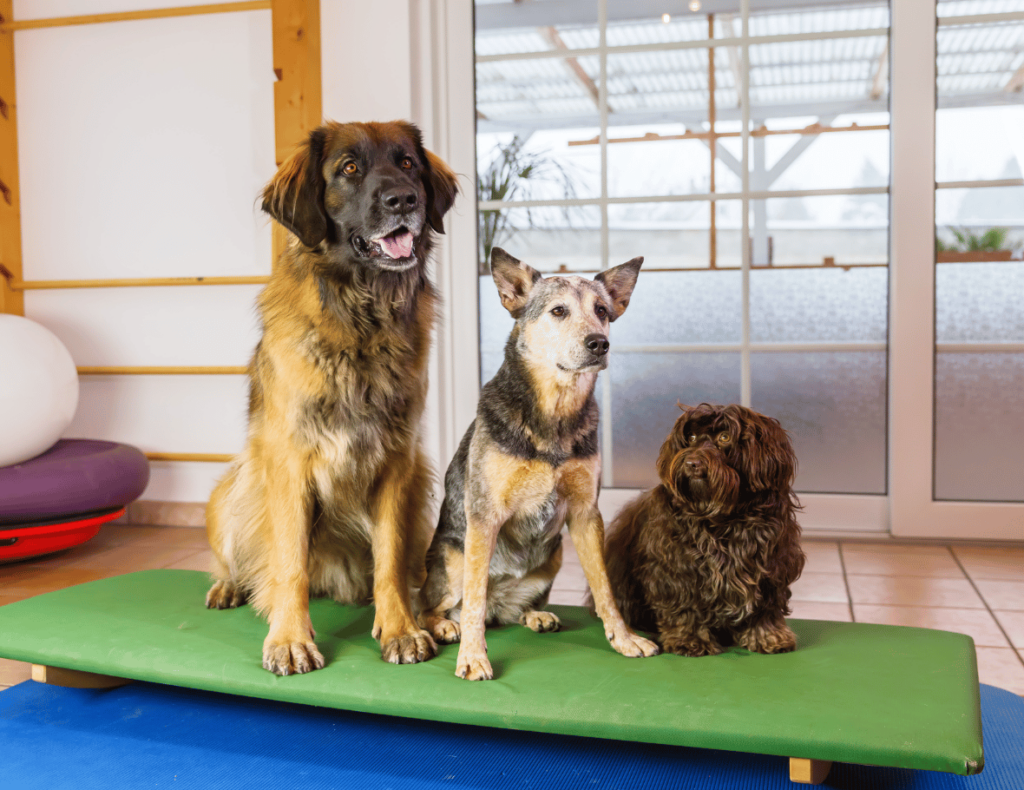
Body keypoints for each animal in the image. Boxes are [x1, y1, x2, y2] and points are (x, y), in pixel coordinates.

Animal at [205, 120, 458, 676]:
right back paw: (229, 585)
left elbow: (389, 559)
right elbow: (290, 563)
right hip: (234, 491)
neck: (362, 319)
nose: (404, 199)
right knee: (241, 557)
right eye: (349, 168)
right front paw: (290, 639)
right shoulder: (289, 463)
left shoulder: (398, 464)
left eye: (408, 163)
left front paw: (401, 628)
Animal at [419, 246, 659, 680]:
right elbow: (474, 599)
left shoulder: (585, 514)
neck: (554, 417)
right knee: (434, 605)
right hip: (453, 557)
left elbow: (604, 589)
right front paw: (473, 656)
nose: (599, 343)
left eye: (602, 310)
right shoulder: (484, 517)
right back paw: (446, 625)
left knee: (511, 610)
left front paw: (624, 638)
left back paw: (535, 614)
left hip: (556, 552)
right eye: (559, 311)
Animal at [598, 405, 806, 659]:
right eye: (691, 437)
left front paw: (768, 636)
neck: (724, 517)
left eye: (724, 437)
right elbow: (684, 605)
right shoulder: (677, 568)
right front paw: (689, 640)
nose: (692, 463)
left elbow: (766, 607)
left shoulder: (772, 565)